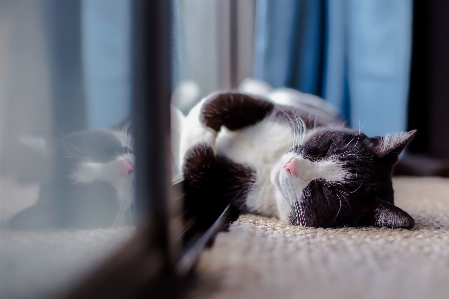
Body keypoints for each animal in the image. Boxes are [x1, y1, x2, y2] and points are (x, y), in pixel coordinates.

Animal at [179, 91, 416, 232]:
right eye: (327, 149)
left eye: (326, 193)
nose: (290, 166)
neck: (270, 163)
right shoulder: (279, 111)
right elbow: (219, 102)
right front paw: (192, 121)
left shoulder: (235, 193)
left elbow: (200, 172)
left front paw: (189, 135)